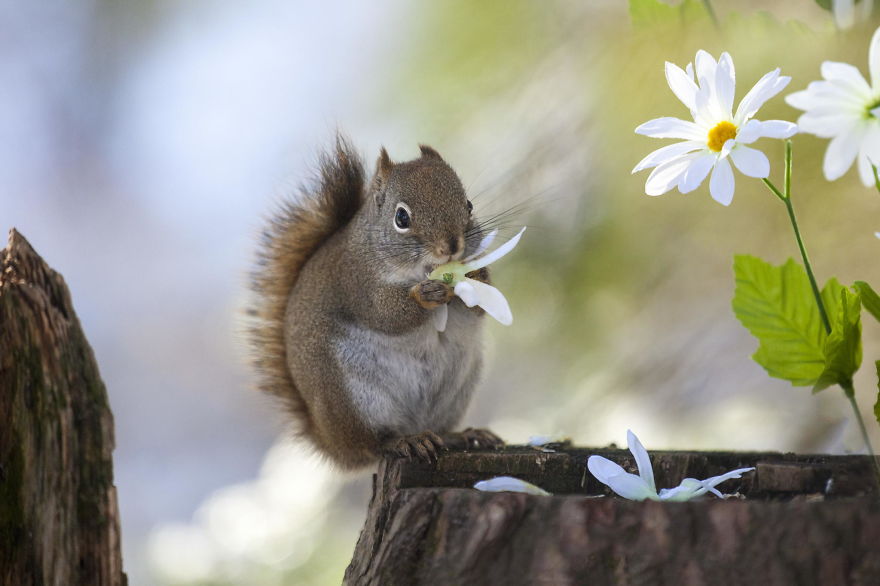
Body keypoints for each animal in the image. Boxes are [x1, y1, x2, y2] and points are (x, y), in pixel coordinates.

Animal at [248, 136, 503, 470]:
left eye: (468, 205)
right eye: (402, 218)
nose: (451, 246)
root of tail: (333, 444)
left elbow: (478, 308)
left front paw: (476, 274)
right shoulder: (357, 282)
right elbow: (386, 315)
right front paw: (425, 295)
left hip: (457, 388)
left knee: (437, 430)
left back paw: (461, 436)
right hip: (355, 398)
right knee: (372, 445)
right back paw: (404, 441)